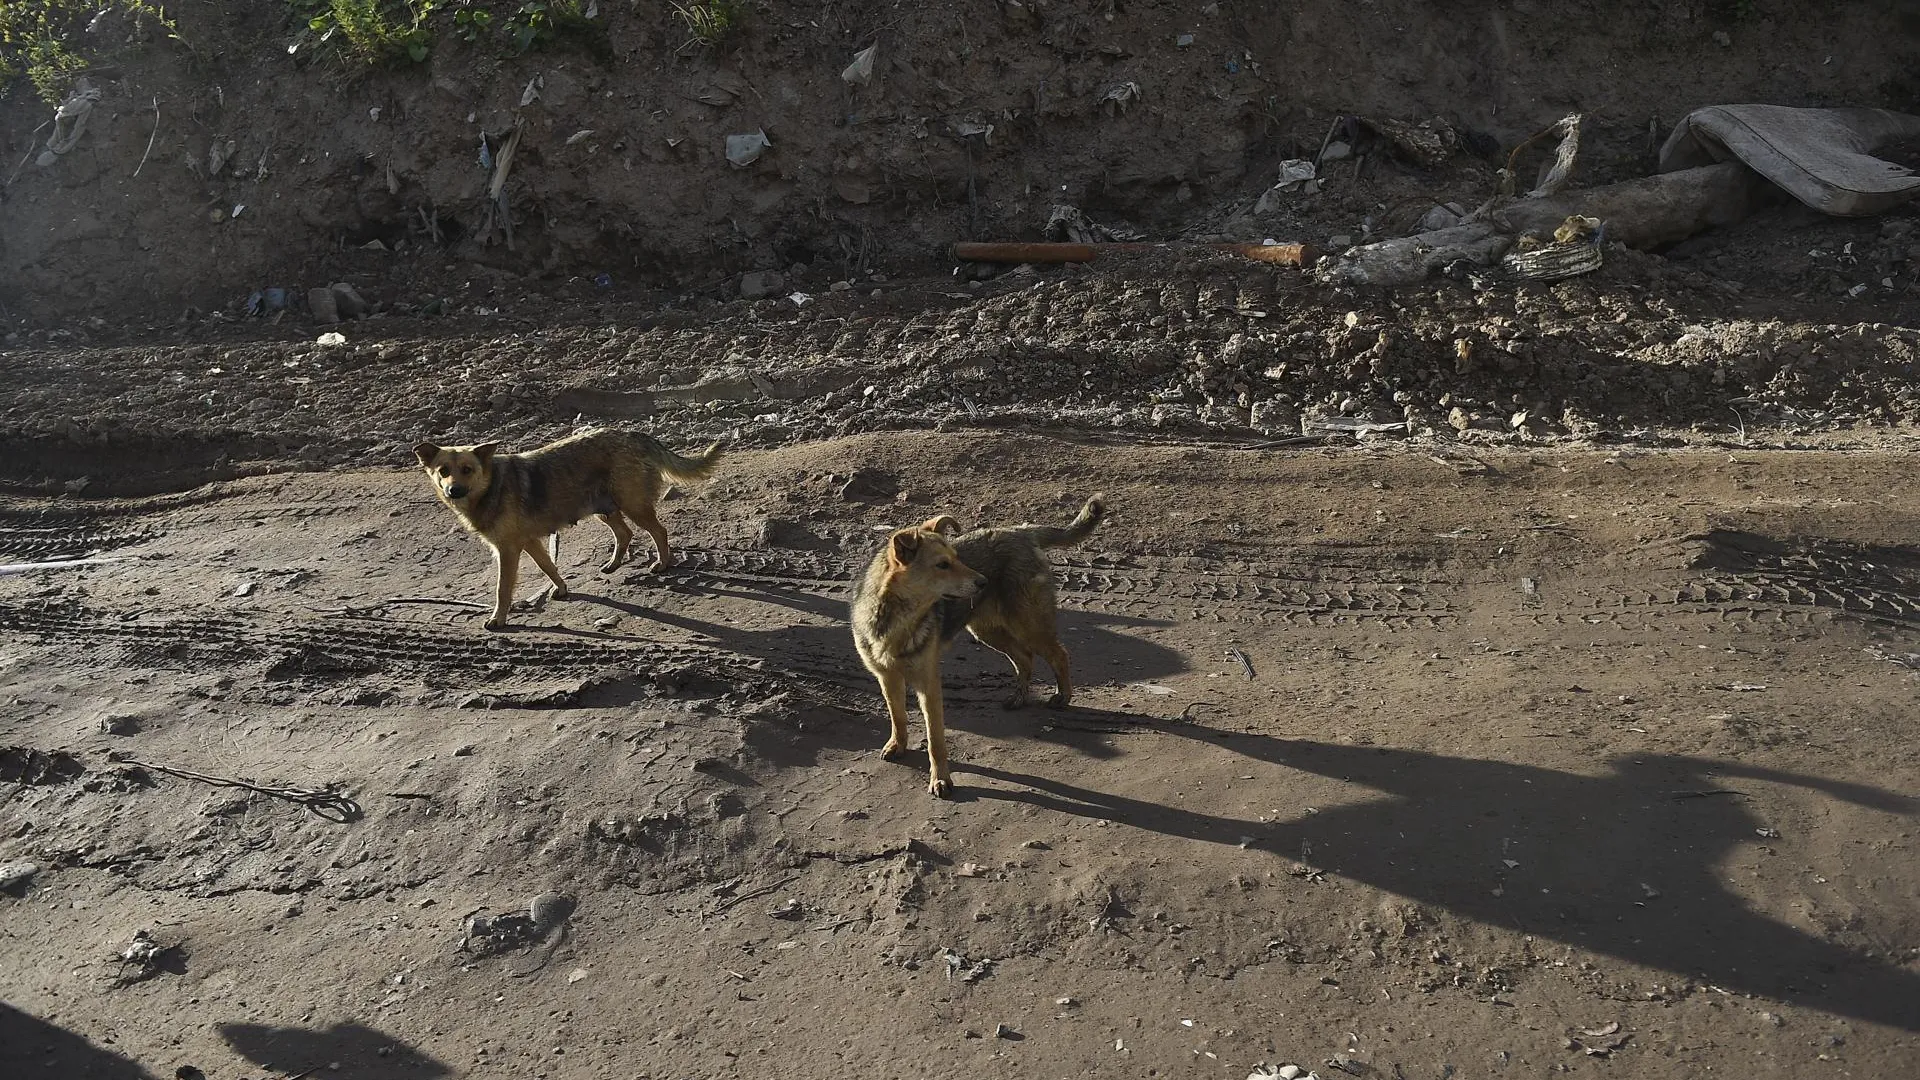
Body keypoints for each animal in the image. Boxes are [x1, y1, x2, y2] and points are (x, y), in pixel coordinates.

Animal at [416, 422, 721, 622]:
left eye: (467, 469)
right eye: (443, 471)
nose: (453, 490)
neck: (491, 486)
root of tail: (634, 435)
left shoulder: (508, 550)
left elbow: (503, 588)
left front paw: (498, 619)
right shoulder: (529, 542)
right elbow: (548, 566)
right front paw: (560, 588)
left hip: (633, 505)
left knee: (659, 531)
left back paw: (662, 563)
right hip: (605, 508)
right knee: (624, 533)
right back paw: (614, 564)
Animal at [856, 495, 1113, 791]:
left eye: (957, 558)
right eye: (942, 565)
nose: (983, 581)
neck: (898, 618)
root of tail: (1021, 531)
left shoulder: (928, 684)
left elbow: (935, 740)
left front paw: (941, 779)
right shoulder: (888, 678)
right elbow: (898, 717)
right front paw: (897, 745)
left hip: (1029, 625)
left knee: (1059, 655)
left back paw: (1063, 696)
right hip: (987, 630)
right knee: (1025, 658)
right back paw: (1019, 697)